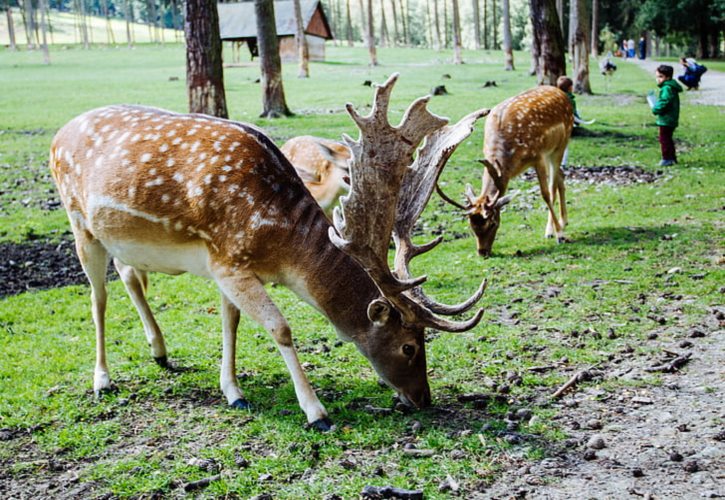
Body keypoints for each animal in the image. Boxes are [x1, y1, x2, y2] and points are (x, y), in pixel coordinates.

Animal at [49, 74, 492, 430]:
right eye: (409, 346)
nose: (423, 398)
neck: (278, 247)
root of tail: (57, 134)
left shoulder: (225, 266)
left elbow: (231, 322)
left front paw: (233, 391)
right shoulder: (229, 261)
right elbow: (280, 328)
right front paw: (316, 412)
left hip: (119, 237)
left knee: (128, 274)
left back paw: (159, 350)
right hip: (79, 223)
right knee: (98, 298)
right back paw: (102, 380)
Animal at [436, 84, 572, 256]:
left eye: (493, 223)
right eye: (471, 226)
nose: (482, 252)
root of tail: (560, 91)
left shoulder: (538, 156)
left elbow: (545, 194)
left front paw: (560, 235)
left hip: (561, 143)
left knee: (553, 184)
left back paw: (552, 230)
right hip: (551, 152)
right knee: (561, 175)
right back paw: (564, 221)